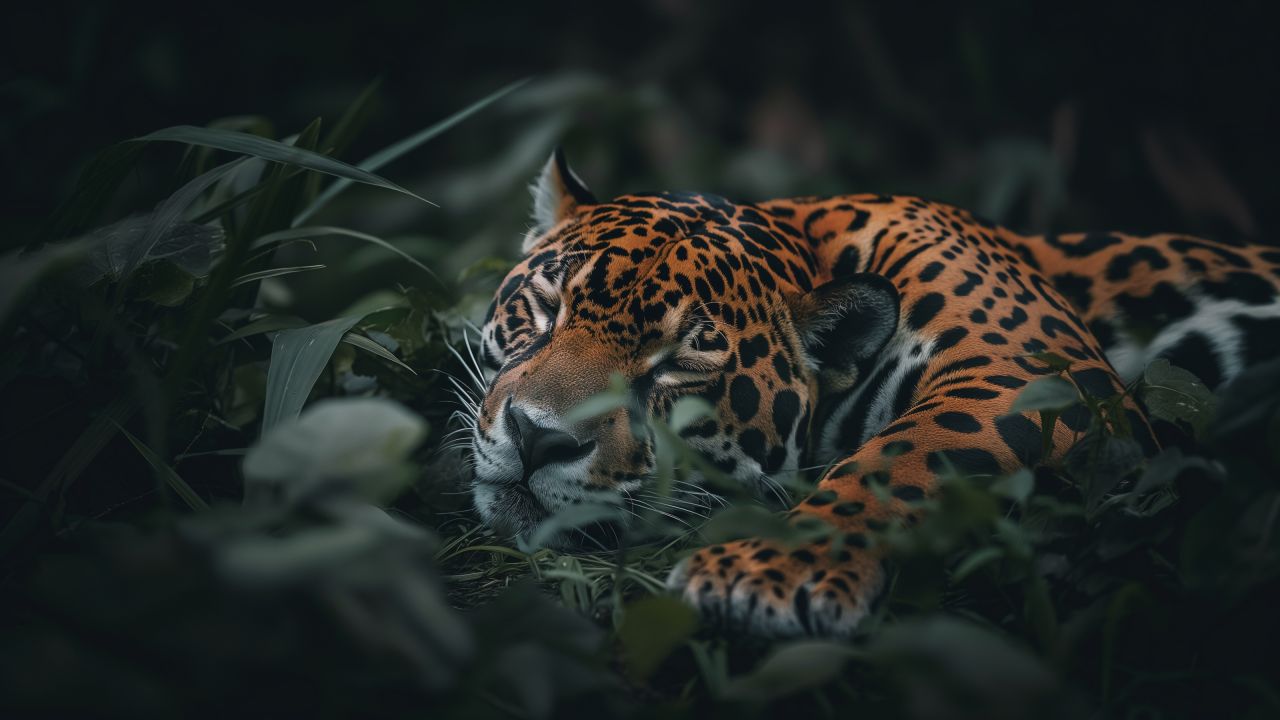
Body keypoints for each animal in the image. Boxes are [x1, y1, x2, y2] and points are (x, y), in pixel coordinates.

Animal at [466, 148, 1280, 637]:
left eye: (678, 367)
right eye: (544, 307)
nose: (537, 436)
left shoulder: (1036, 374)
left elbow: (903, 458)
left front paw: (764, 573)